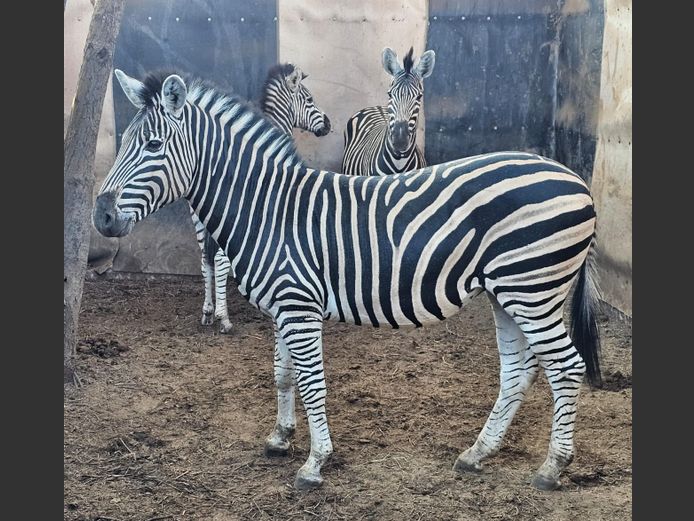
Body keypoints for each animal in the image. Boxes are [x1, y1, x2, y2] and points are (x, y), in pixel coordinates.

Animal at [190, 63, 331, 333]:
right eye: (309, 99)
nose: (328, 125)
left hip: (200, 221)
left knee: (205, 261)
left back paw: (207, 311)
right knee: (219, 261)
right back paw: (224, 318)